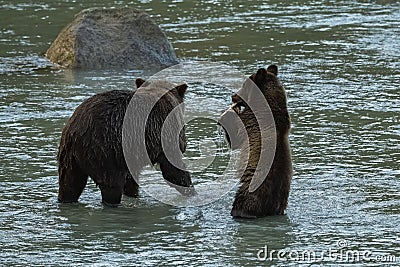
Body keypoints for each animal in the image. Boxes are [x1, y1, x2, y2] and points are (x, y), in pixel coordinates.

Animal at [57, 78, 195, 207]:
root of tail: (75, 130)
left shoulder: (131, 154)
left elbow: (131, 178)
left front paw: (132, 193)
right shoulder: (165, 133)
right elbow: (173, 168)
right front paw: (191, 191)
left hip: (69, 158)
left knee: (70, 184)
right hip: (105, 151)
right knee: (111, 186)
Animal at [220, 65, 292, 220]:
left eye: (243, 86)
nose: (233, 96)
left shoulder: (253, 121)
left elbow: (235, 137)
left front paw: (228, 113)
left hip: (250, 191)